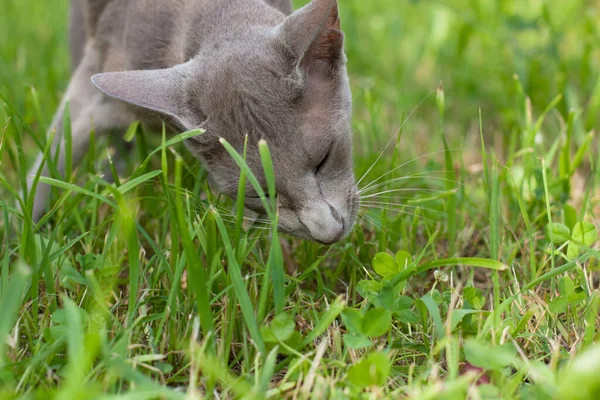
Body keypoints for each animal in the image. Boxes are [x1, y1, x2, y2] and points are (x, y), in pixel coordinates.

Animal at [27, 0, 356, 244]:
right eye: (259, 193)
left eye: (325, 158)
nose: (327, 233)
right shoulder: (95, 76)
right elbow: (52, 156)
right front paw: (24, 236)